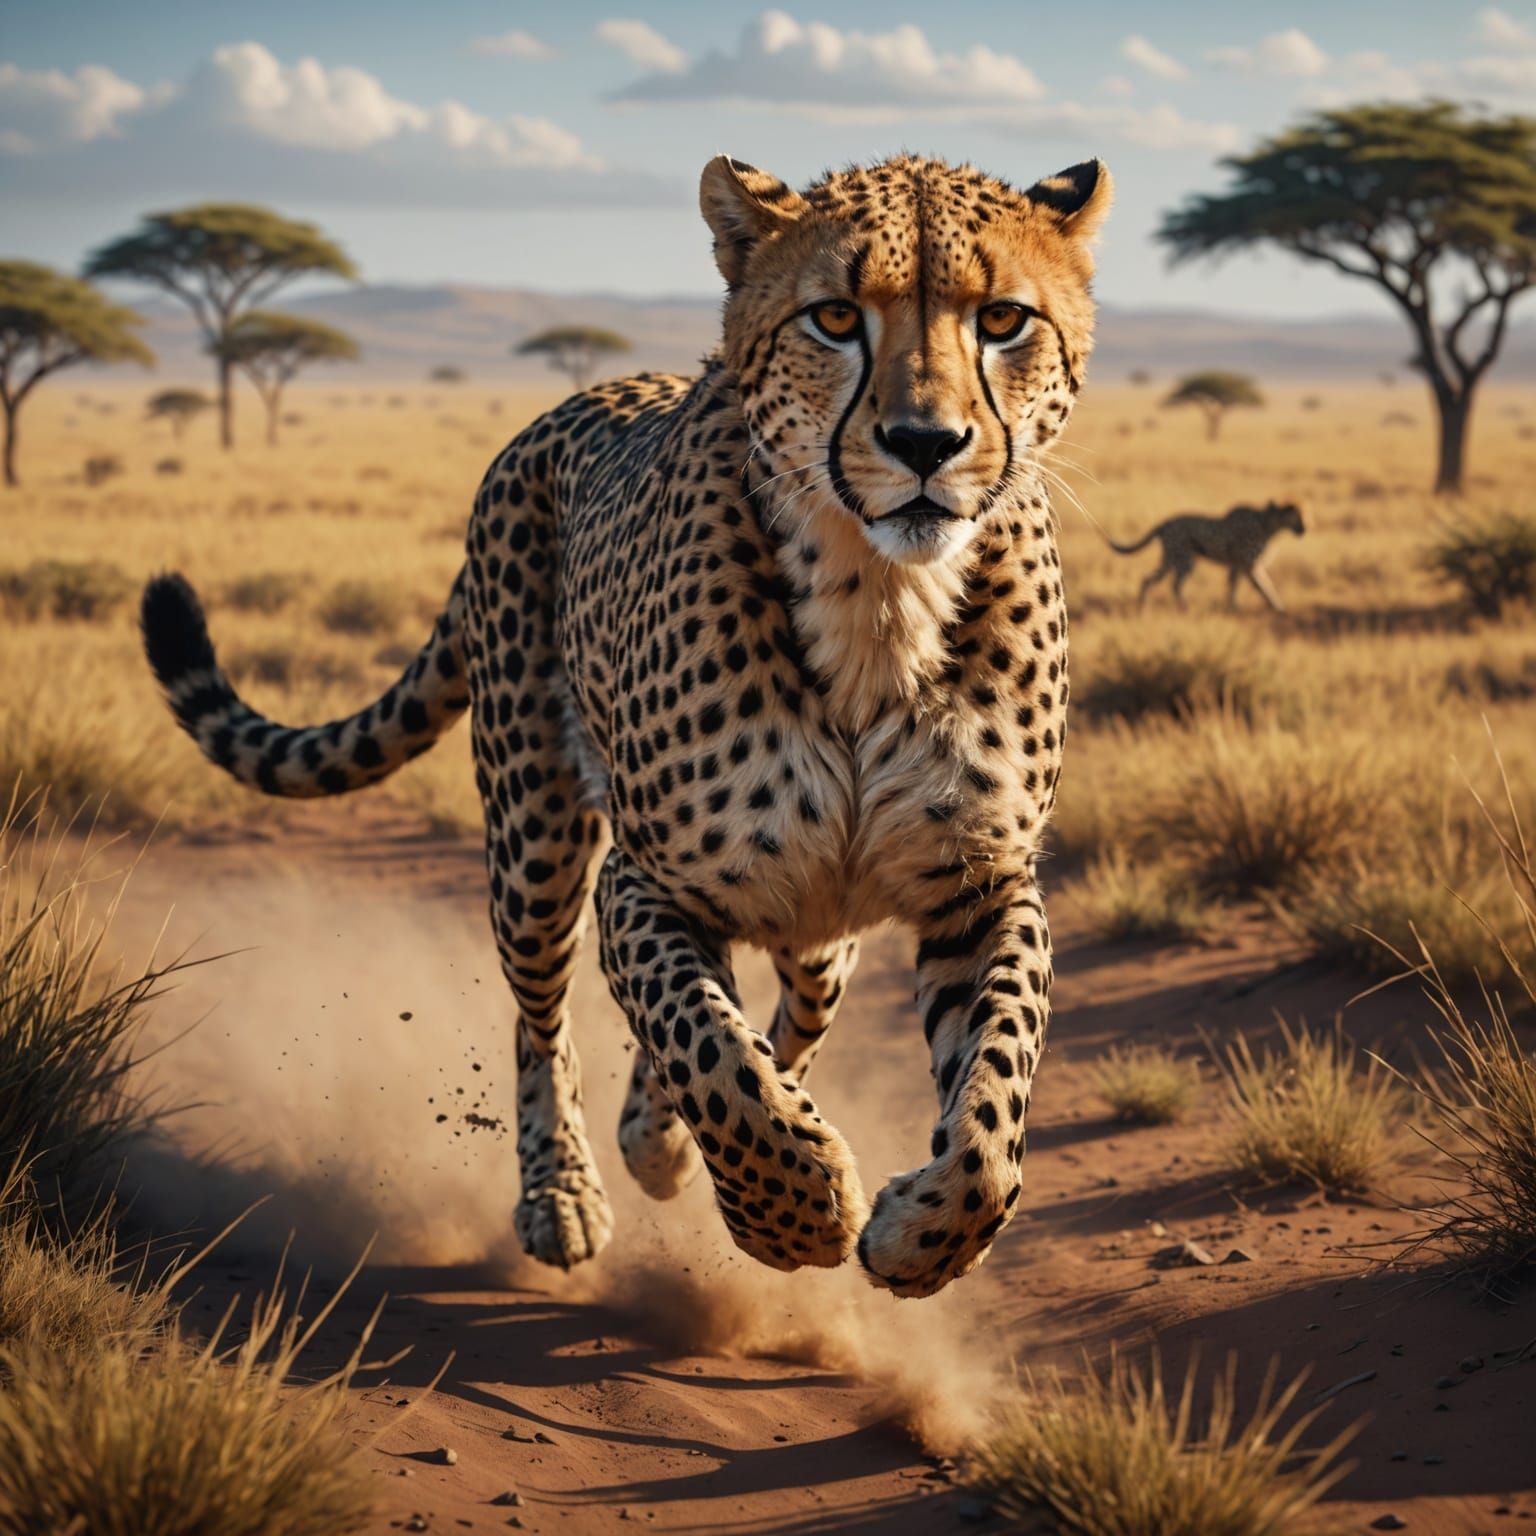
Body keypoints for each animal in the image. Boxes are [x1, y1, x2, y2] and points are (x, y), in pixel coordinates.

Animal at [140, 150, 1112, 1300]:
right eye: (835, 317)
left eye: (1003, 319)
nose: (925, 443)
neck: (877, 599)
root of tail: (577, 399)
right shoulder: (643, 881)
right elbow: (712, 1053)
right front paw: (792, 1213)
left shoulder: (979, 884)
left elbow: (995, 1099)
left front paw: (924, 1235)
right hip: (537, 843)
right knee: (544, 1020)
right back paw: (565, 1192)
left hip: (815, 932)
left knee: (791, 1009)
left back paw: (659, 1140)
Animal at [1108, 499, 1305, 612]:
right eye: (1298, 516)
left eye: (1305, 515)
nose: (1304, 528)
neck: (1268, 523)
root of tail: (1165, 523)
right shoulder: (1250, 566)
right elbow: (1264, 586)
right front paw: (1278, 607)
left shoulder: (1238, 565)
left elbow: (1234, 586)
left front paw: (1232, 607)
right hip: (1185, 560)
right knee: (1175, 585)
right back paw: (1185, 608)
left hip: (1170, 560)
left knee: (1148, 579)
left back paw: (1143, 606)